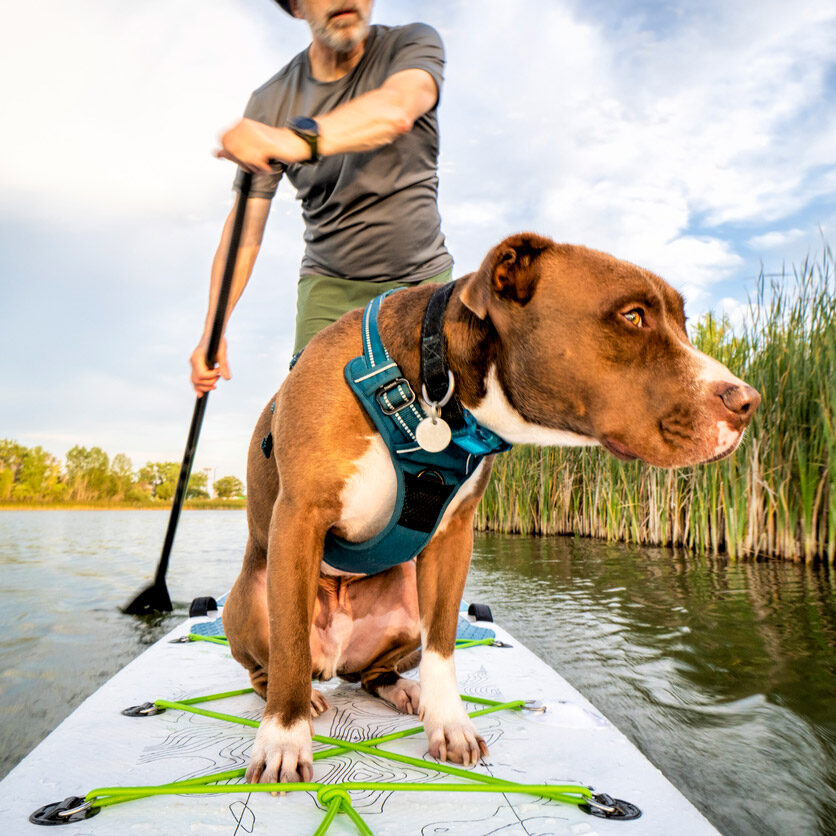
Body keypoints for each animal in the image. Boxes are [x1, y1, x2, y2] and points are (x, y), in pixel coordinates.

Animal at [220, 233, 756, 784]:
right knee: (270, 664)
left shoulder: (453, 537)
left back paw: (400, 688)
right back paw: (301, 698)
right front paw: (284, 739)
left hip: (404, 603)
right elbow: (290, 643)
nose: (747, 402)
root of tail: (333, 661)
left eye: (683, 324)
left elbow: (441, 645)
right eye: (633, 316)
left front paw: (448, 724)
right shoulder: (298, 519)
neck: (430, 384)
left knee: (373, 673)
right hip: (250, 600)